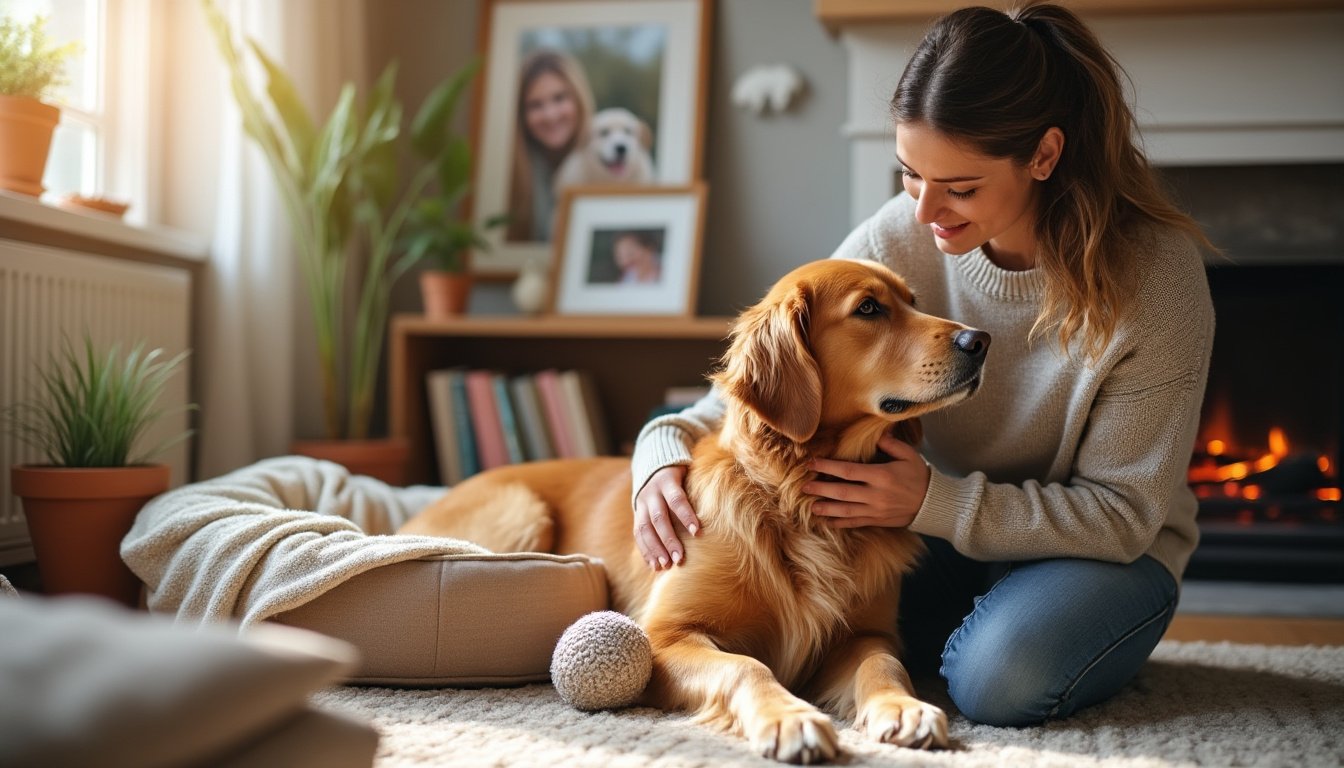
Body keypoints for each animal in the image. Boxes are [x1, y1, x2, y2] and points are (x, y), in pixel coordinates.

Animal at [397, 258, 989, 763]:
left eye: (912, 301)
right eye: (868, 309)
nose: (980, 340)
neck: (793, 499)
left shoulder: (866, 633)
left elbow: (883, 665)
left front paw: (906, 707)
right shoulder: (663, 636)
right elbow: (747, 667)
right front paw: (790, 718)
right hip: (522, 511)